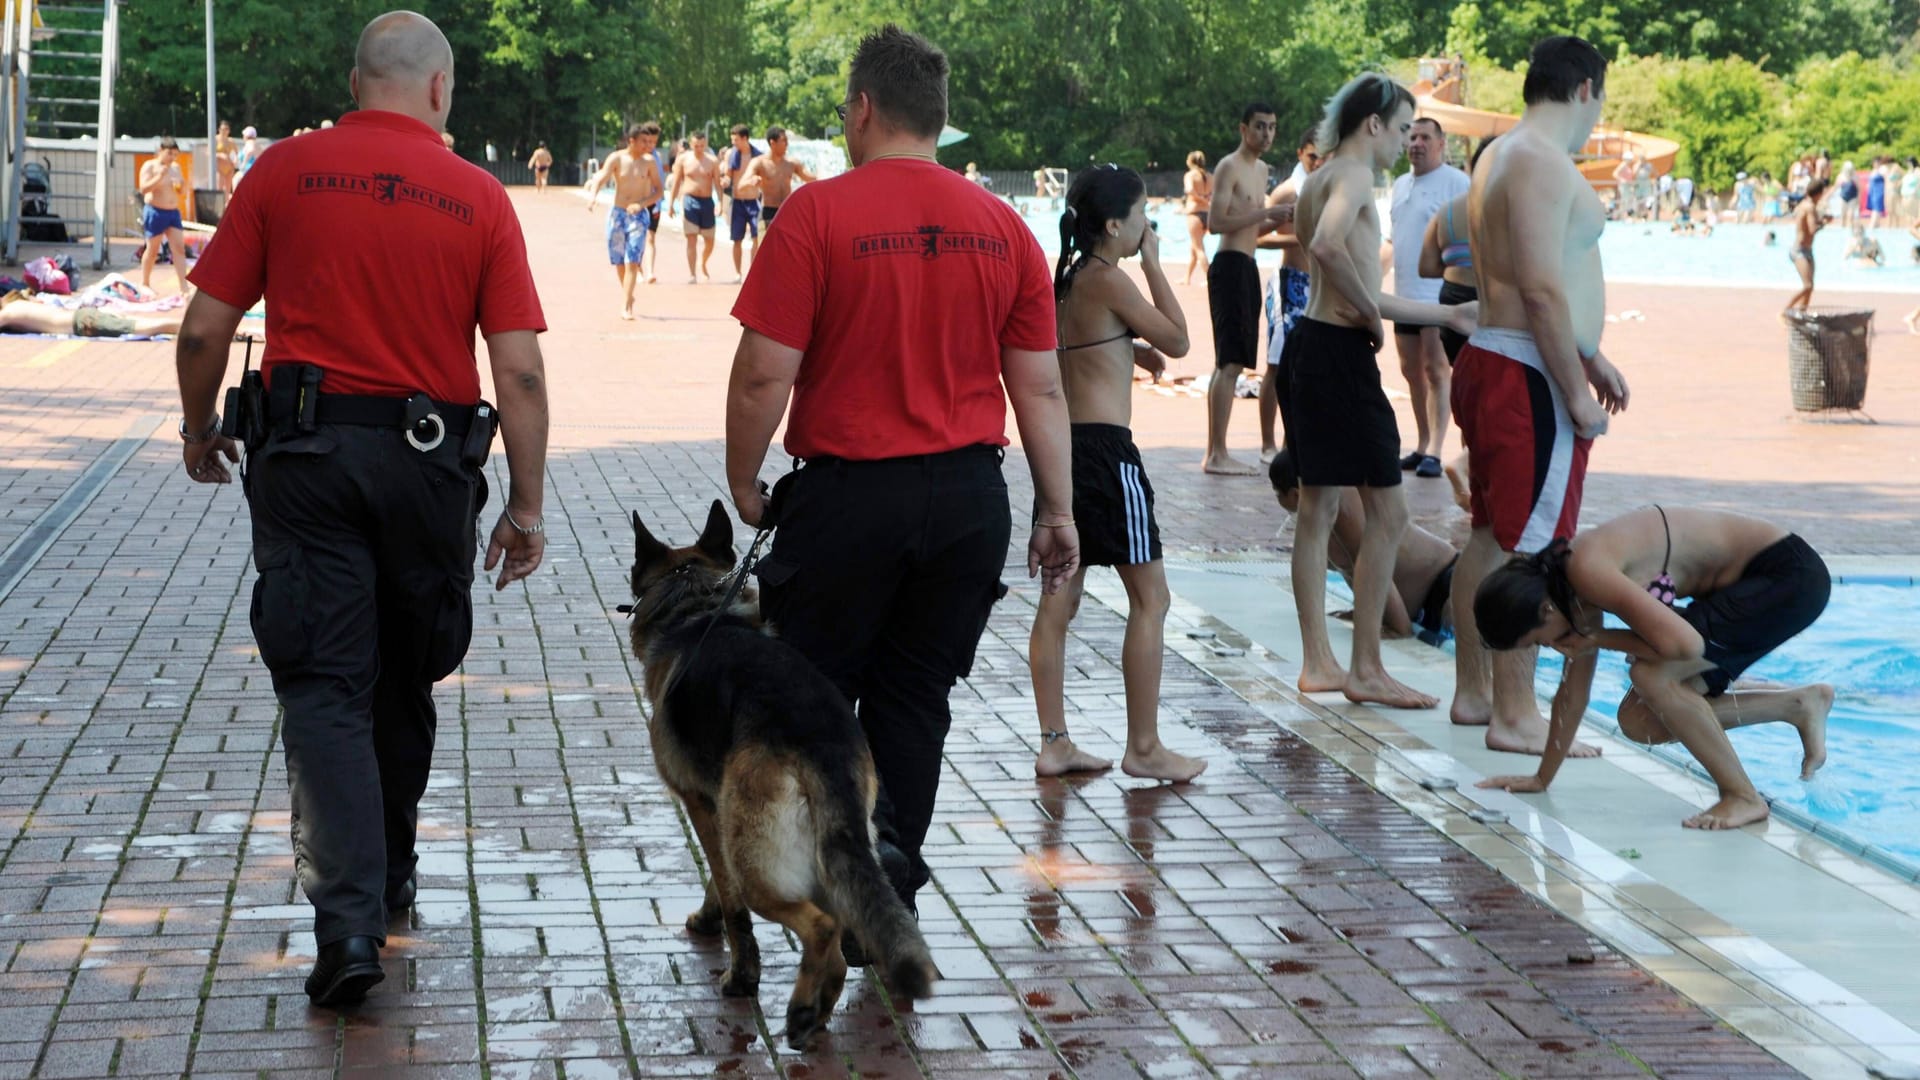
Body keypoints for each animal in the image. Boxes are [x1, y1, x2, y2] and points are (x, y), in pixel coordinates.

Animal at [629, 503, 936, 1045]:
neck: (693, 608)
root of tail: (821, 740)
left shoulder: (702, 805)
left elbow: (730, 899)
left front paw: (740, 971)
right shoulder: (719, 806)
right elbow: (718, 882)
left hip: (759, 861)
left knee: (821, 926)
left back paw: (800, 1008)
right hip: (834, 845)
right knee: (843, 925)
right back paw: (817, 1008)